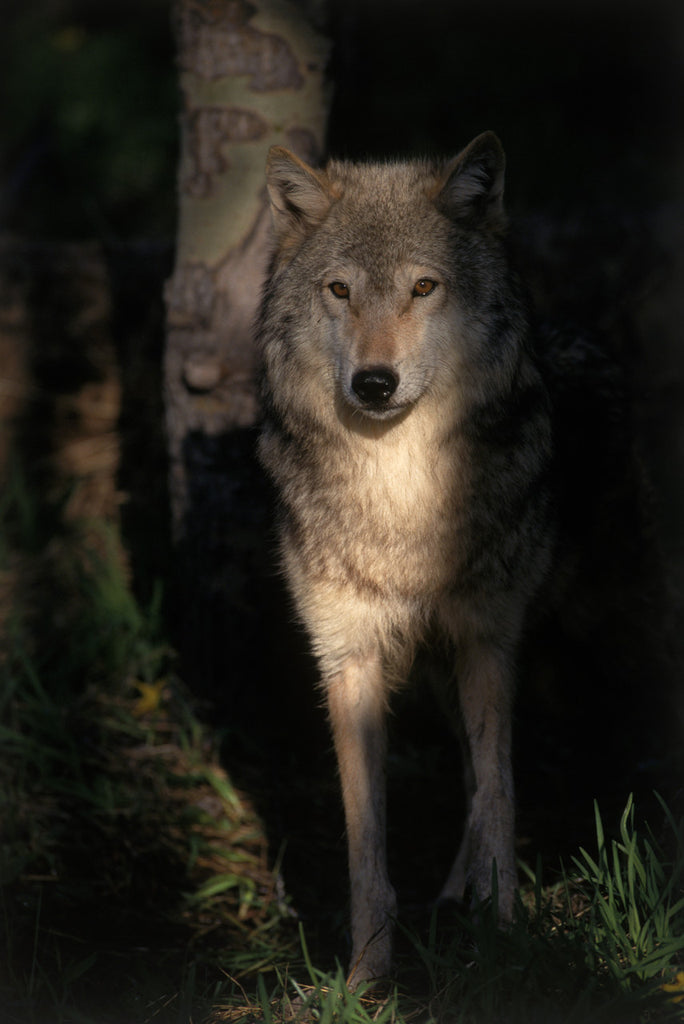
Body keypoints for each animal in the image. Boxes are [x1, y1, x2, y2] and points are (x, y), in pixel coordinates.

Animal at [257, 132, 555, 984]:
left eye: (424, 287)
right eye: (340, 291)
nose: (374, 382)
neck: (403, 502)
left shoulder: (487, 638)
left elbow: (498, 795)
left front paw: (509, 939)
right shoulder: (347, 655)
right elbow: (366, 839)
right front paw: (367, 975)